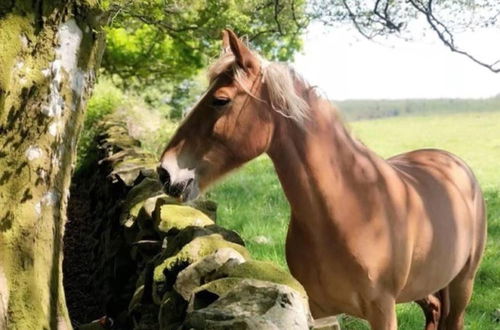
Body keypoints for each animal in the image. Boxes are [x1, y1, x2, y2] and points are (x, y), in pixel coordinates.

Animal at [156, 29, 484, 328]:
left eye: (220, 100)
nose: (165, 171)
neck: (353, 205)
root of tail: (454, 164)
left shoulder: (382, 310)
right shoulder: (319, 308)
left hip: (462, 284)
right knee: (434, 310)